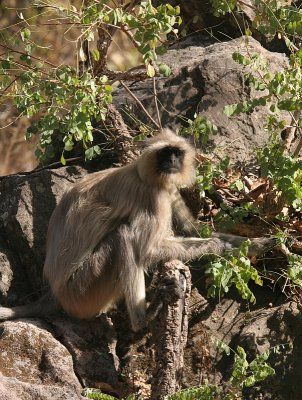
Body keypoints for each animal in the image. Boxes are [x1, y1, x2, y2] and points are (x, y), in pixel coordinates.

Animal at [0, 129, 274, 332]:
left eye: (176, 153)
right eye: (165, 153)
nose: (172, 161)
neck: (145, 173)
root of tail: (54, 294)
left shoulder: (168, 189)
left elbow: (196, 229)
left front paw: (264, 243)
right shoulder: (154, 196)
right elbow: (148, 249)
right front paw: (221, 247)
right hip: (81, 291)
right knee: (123, 236)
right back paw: (143, 321)